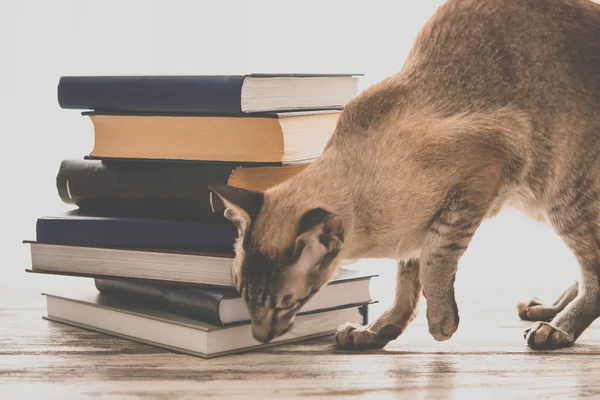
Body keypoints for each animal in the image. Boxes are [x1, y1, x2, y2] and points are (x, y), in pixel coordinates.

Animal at [210, 0, 600, 350]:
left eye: (285, 304)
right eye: (243, 295)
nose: (260, 337)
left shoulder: (475, 181)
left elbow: (435, 260)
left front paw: (441, 324)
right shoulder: (417, 229)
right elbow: (405, 285)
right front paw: (376, 332)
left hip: (564, 197)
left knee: (592, 274)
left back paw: (555, 329)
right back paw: (544, 308)